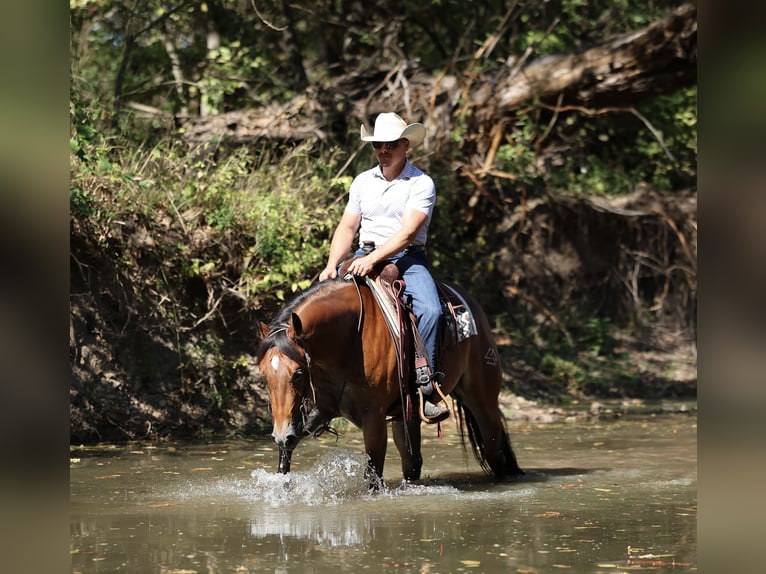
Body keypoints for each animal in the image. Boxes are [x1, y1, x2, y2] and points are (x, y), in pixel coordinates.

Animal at [256, 275, 523, 483]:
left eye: (298, 373)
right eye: (264, 375)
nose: (279, 434)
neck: (349, 339)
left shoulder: (373, 418)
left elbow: (373, 476)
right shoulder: (317, 411)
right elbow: (286, 454)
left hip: (482, 401)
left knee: (494, 450)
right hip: (407, 414)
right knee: (412, 462)